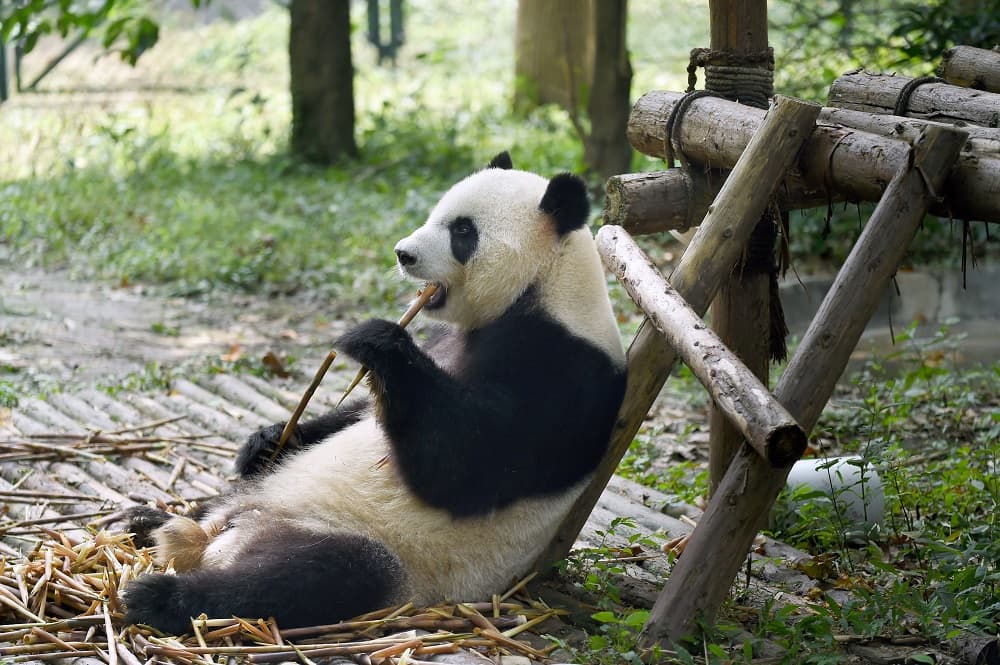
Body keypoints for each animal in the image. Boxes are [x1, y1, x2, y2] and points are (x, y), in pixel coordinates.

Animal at [122, 152, 627, 634]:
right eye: (437, 213)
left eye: (463, 231)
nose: (404, 254)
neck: (545, 286)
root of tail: (228, 534)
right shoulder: (450, 338)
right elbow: (363, 411)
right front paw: (265, 440)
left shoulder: (562, 369)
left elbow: (467, 465)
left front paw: (376, 340)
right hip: (264, 492)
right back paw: (146, 522)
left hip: (383, 552)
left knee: (312, 577)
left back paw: (160, 596)